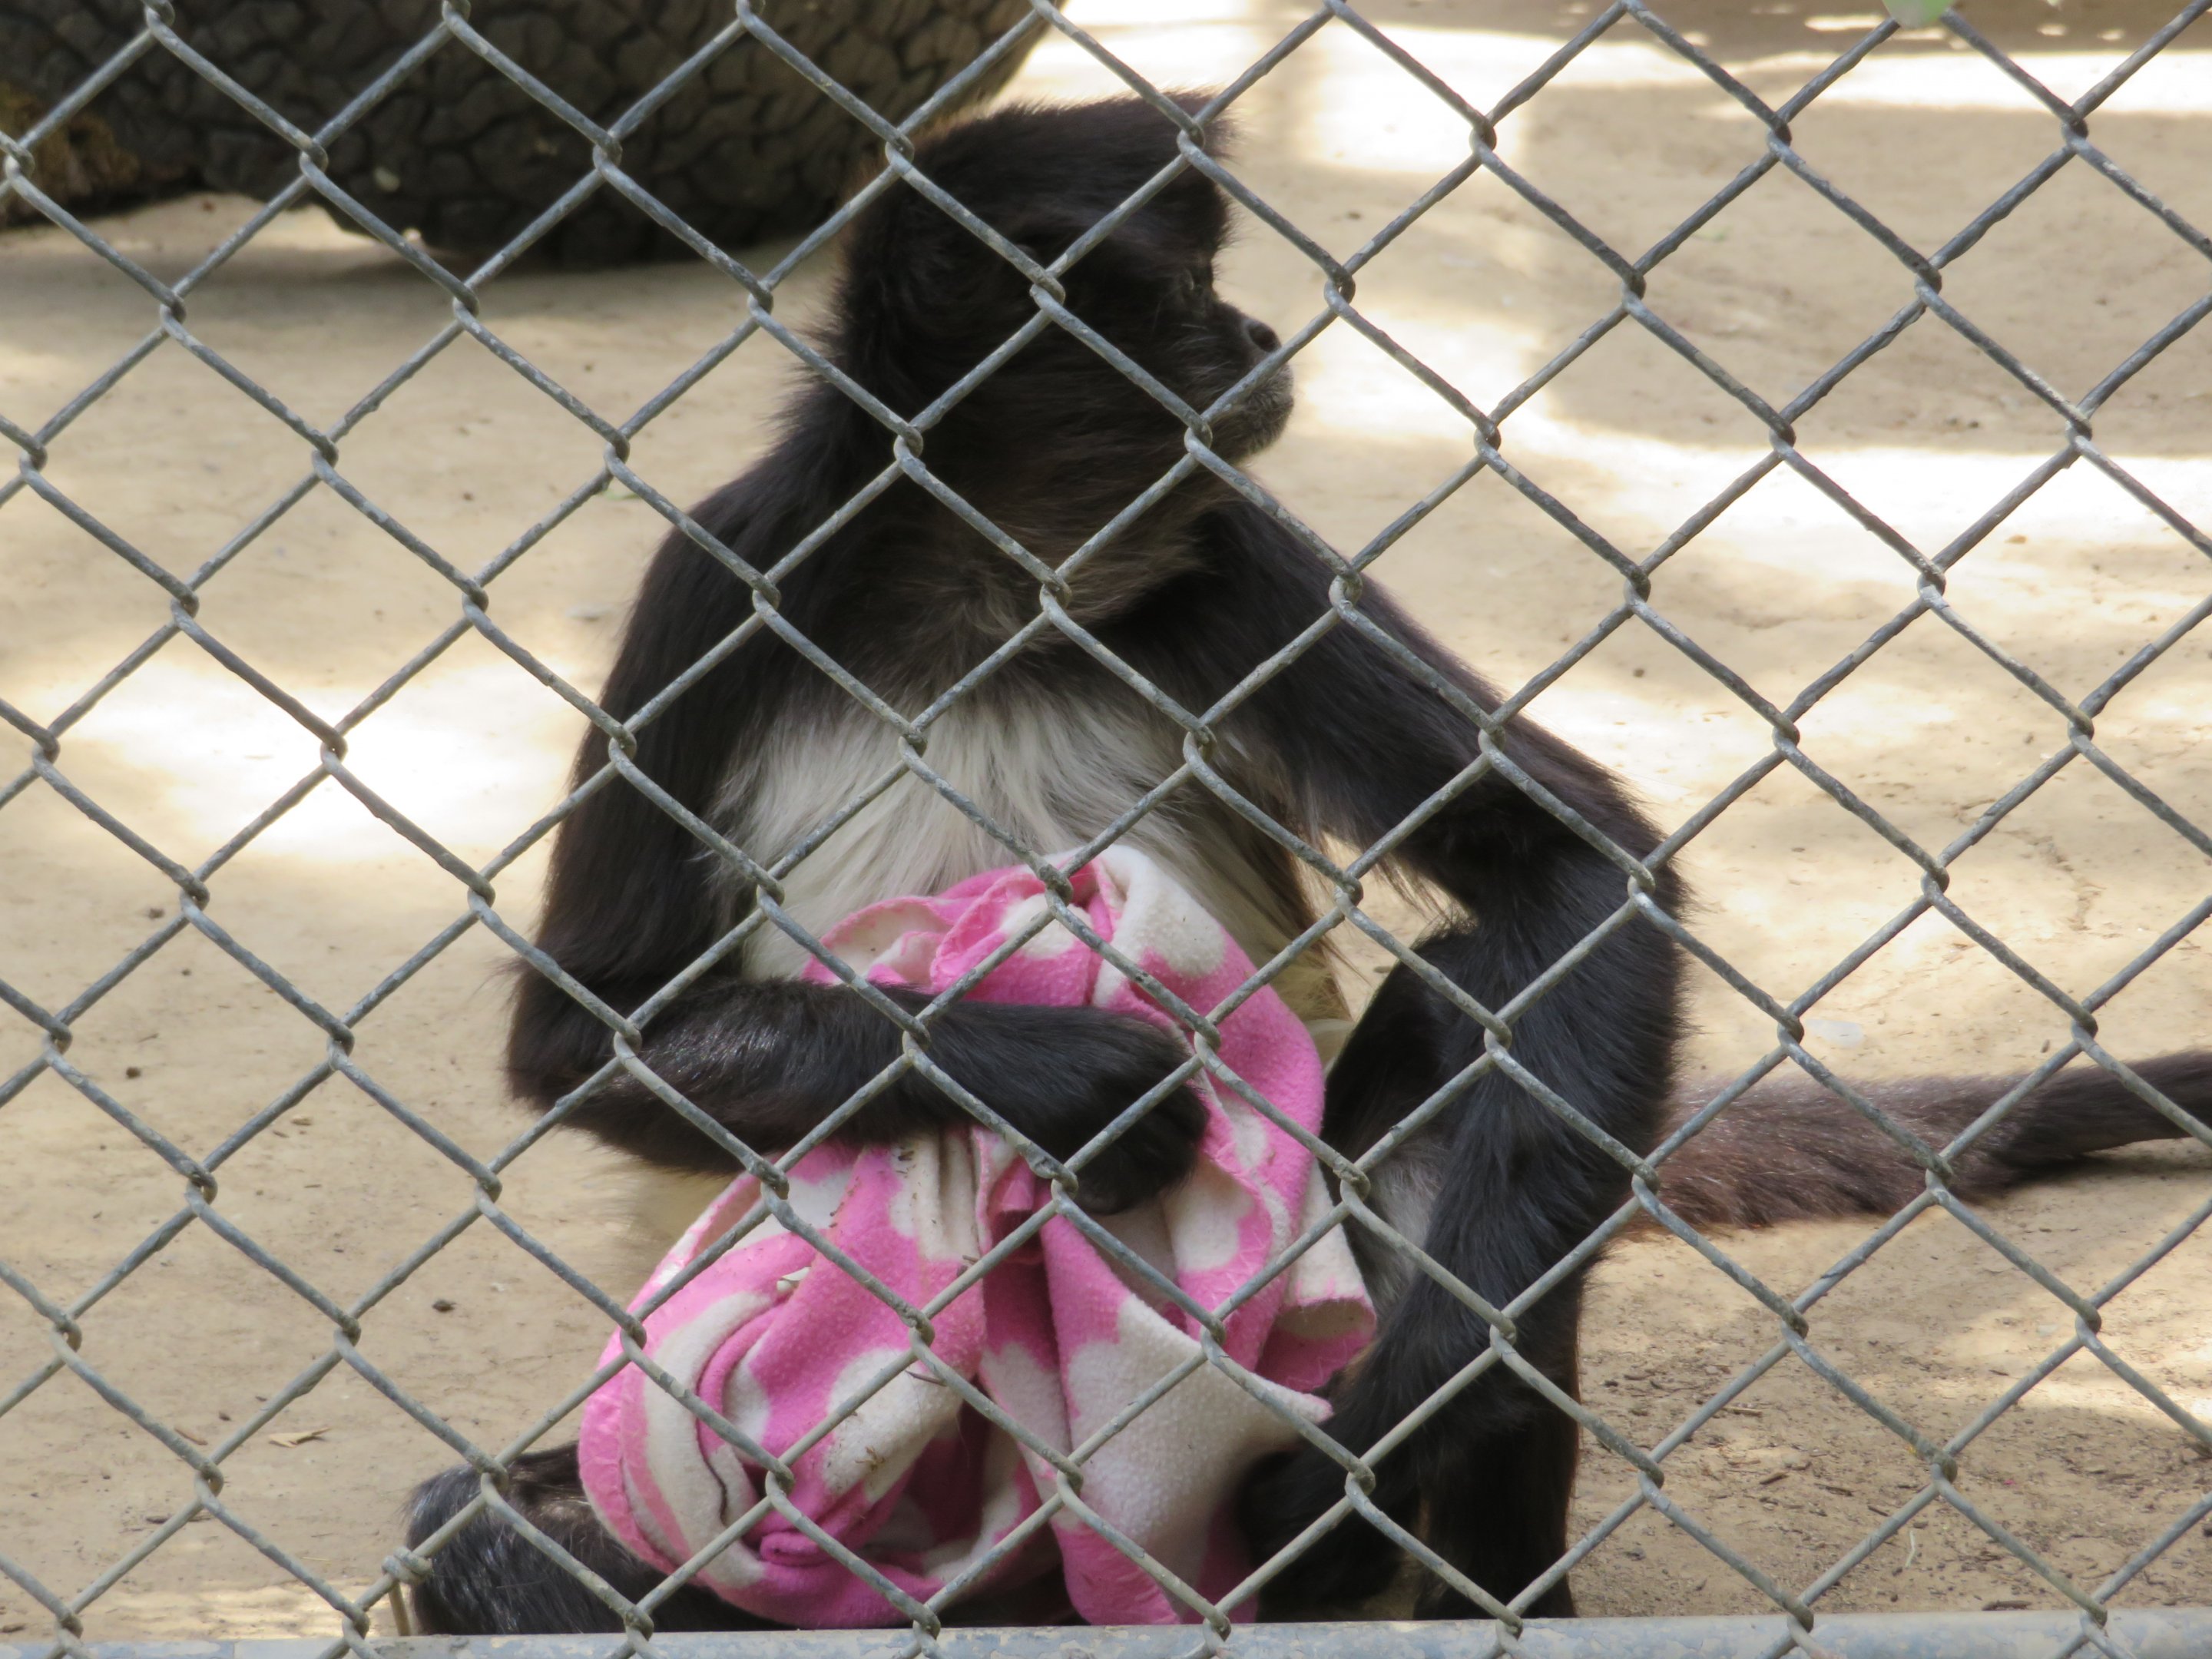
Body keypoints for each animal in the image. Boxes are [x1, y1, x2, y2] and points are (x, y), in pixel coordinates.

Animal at [402, 95, 2212, 1634]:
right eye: (1189, 287)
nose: (1263, 339)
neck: (989, 585)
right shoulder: (724, 581)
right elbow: (582, 1035)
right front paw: (1061, 1078)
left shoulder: (1228, 552)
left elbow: (1576, 876)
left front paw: (1401, 1417)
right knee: (466, 1537)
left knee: (1462, 1019)